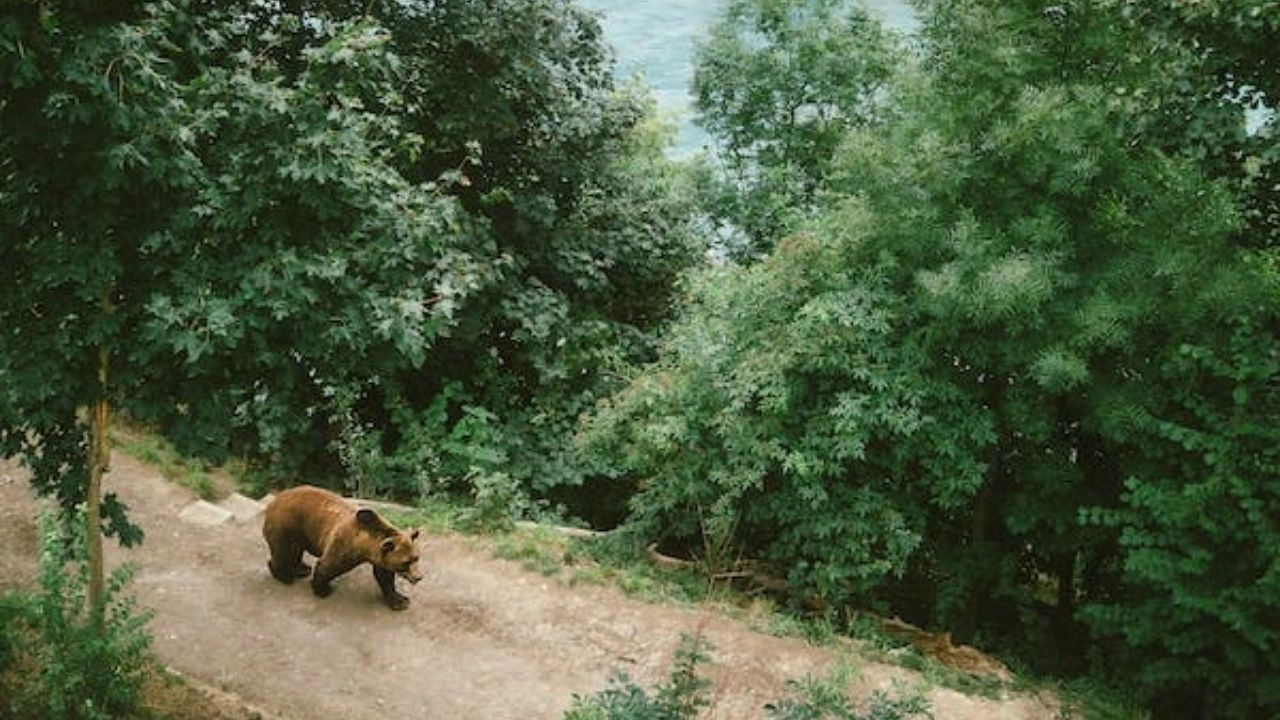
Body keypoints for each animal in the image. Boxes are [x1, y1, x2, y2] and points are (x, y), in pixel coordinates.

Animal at [261, 484, 424, 607]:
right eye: (406, 562)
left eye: (416, 558)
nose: (418, 577)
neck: (366, 545)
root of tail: (274, 500)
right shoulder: (345, 544)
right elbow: (328, 565)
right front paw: (323, 589)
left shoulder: (381, 555)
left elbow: (385, 576)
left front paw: (400, 600)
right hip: (286, 525)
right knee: (284, 551)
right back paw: (284, 576)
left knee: (295, 551)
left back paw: (301, 568)